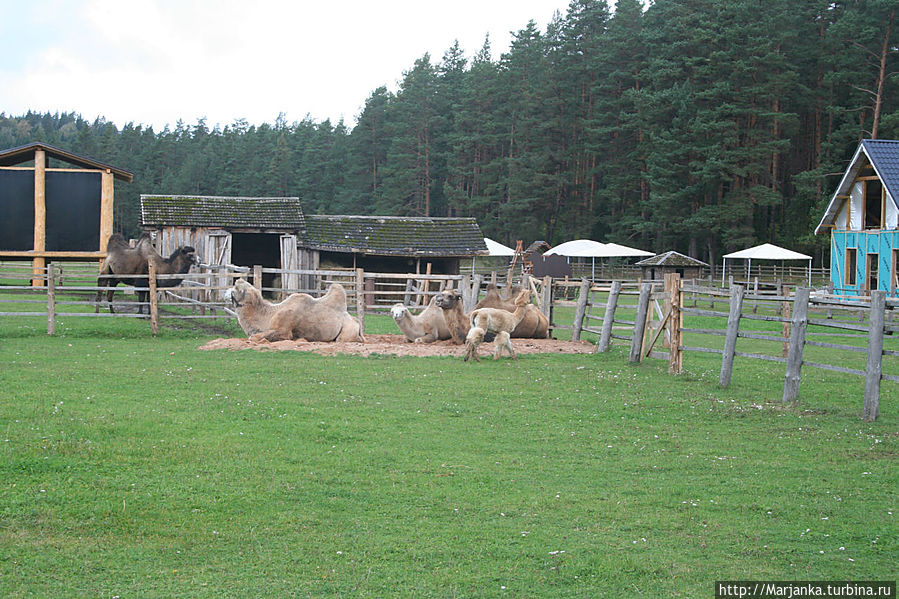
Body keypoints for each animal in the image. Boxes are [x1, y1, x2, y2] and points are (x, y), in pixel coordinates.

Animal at [227, 276, 364, 342]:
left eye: (238, 288)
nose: (237, 279)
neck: (268, 315)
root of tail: (357, 321)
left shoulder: (284, 330)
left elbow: (254, 337)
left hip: (348, 330)